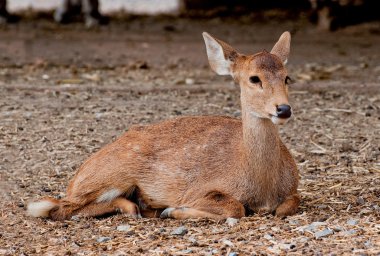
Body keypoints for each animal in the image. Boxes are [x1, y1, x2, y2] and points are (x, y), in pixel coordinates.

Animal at [26, 31, 300, 220]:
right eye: (254, 78)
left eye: (287, 77)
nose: (283, 109)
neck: (261, 188)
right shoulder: (199, 190)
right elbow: (235, 207)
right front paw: (174, 210)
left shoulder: (292, 191)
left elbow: (287, 206)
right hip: (111, 173)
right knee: (59, 207)